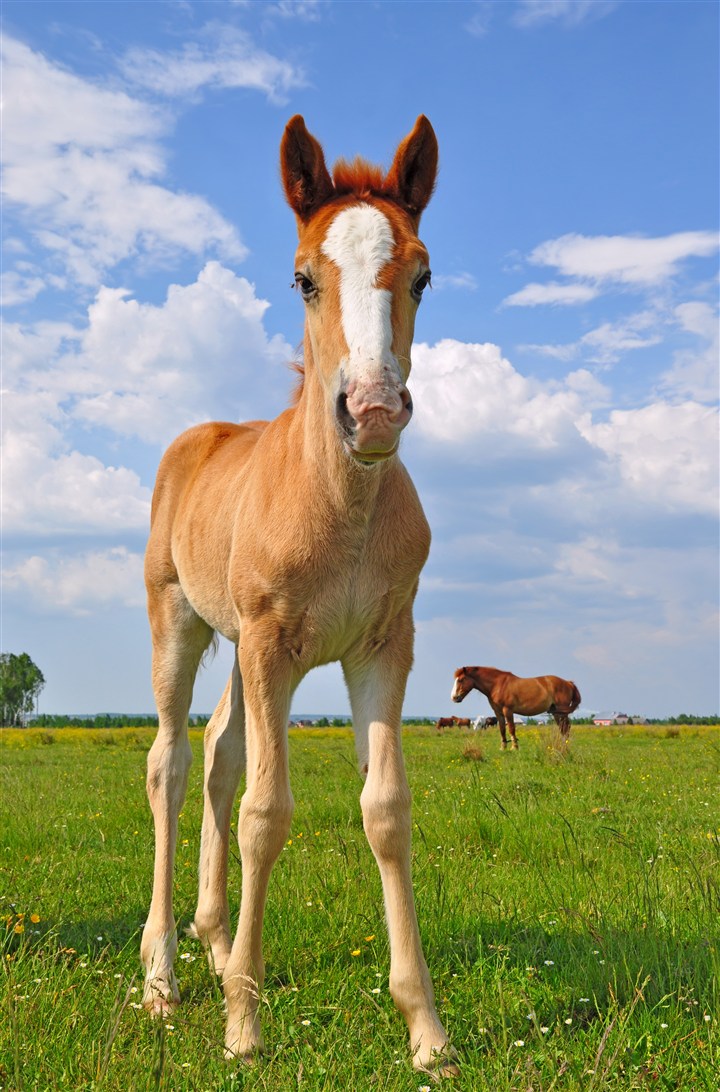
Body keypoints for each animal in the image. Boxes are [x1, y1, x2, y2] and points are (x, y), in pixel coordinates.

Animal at [142, 113, 456, 1074]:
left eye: (423, 273)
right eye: (303, 278)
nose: (374, 410)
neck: (341, 503)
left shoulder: (384, 648)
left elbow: (385, 810)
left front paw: (427, 1031)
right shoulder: (270, 643)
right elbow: (266, 813)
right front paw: (245, 1025)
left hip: (240, 651)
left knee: (216, 752)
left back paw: (213, 945)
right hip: (181, 623)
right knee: (171, 763)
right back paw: (163, 978)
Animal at [450, 663, 581, 751]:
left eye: (461, 680)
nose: (454, 698)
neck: (497, 685)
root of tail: (568, 683)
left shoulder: (508, 710)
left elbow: (511, 728)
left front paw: (514, 747)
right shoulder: (498, 712)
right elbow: (502, 729)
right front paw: (503, 747)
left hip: (561, 712)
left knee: (566, 727)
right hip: (557, 713)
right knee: (563, 728)